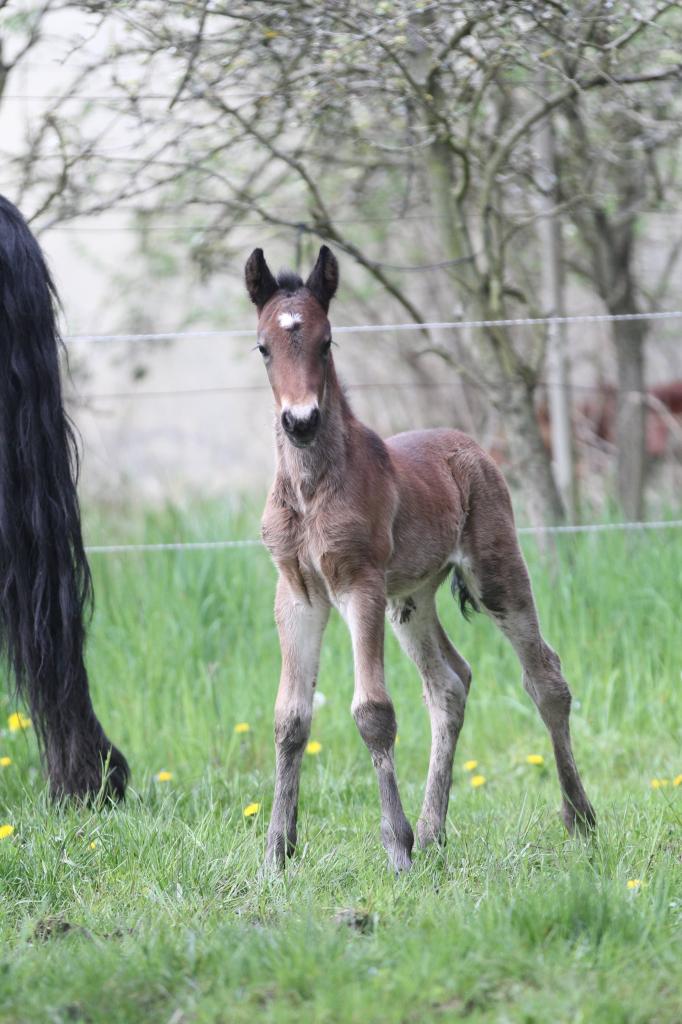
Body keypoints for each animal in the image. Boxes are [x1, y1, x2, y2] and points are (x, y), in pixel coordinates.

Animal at [245, 243, 593, 868]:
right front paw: (276, 856)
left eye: (326, 341)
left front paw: (396, 850)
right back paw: (434, 830)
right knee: (450, 685)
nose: (301, 422)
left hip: (495, 573)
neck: (311, 489)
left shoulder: (359, 584)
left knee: (545, 677)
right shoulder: (299, 594)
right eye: (263, 347)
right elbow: (290, 717)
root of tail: (470, 444)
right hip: (410, 600)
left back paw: (578, 816)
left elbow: (373, 713)